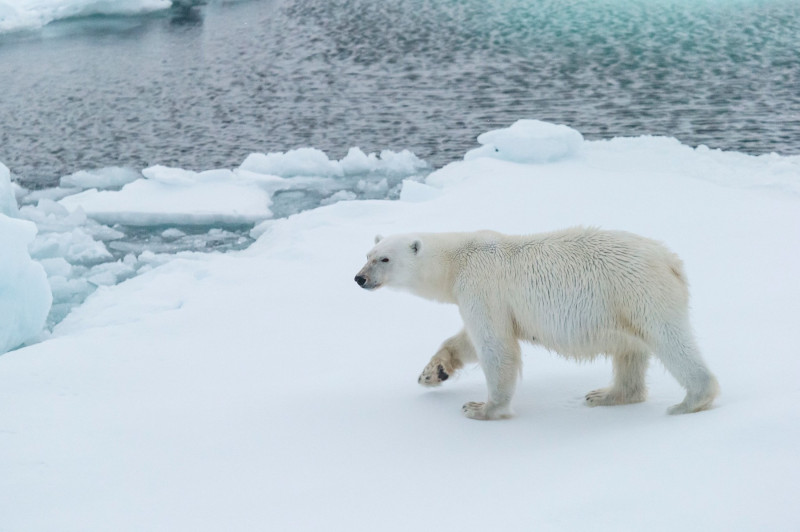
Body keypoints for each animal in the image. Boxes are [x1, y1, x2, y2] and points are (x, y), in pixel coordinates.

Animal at [356, 228, 720, 420]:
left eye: (384, 258)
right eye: (367, 255)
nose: (359, 278)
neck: (457, 260)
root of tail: (671, 261)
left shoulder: (481, 287)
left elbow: (496, 346)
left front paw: (480, 407)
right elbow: (468, 340)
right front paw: (432, 373)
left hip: (639, 292)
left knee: (669, 340)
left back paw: (690, 400)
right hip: (622, 305)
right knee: (629, 350)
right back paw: (605, 394)